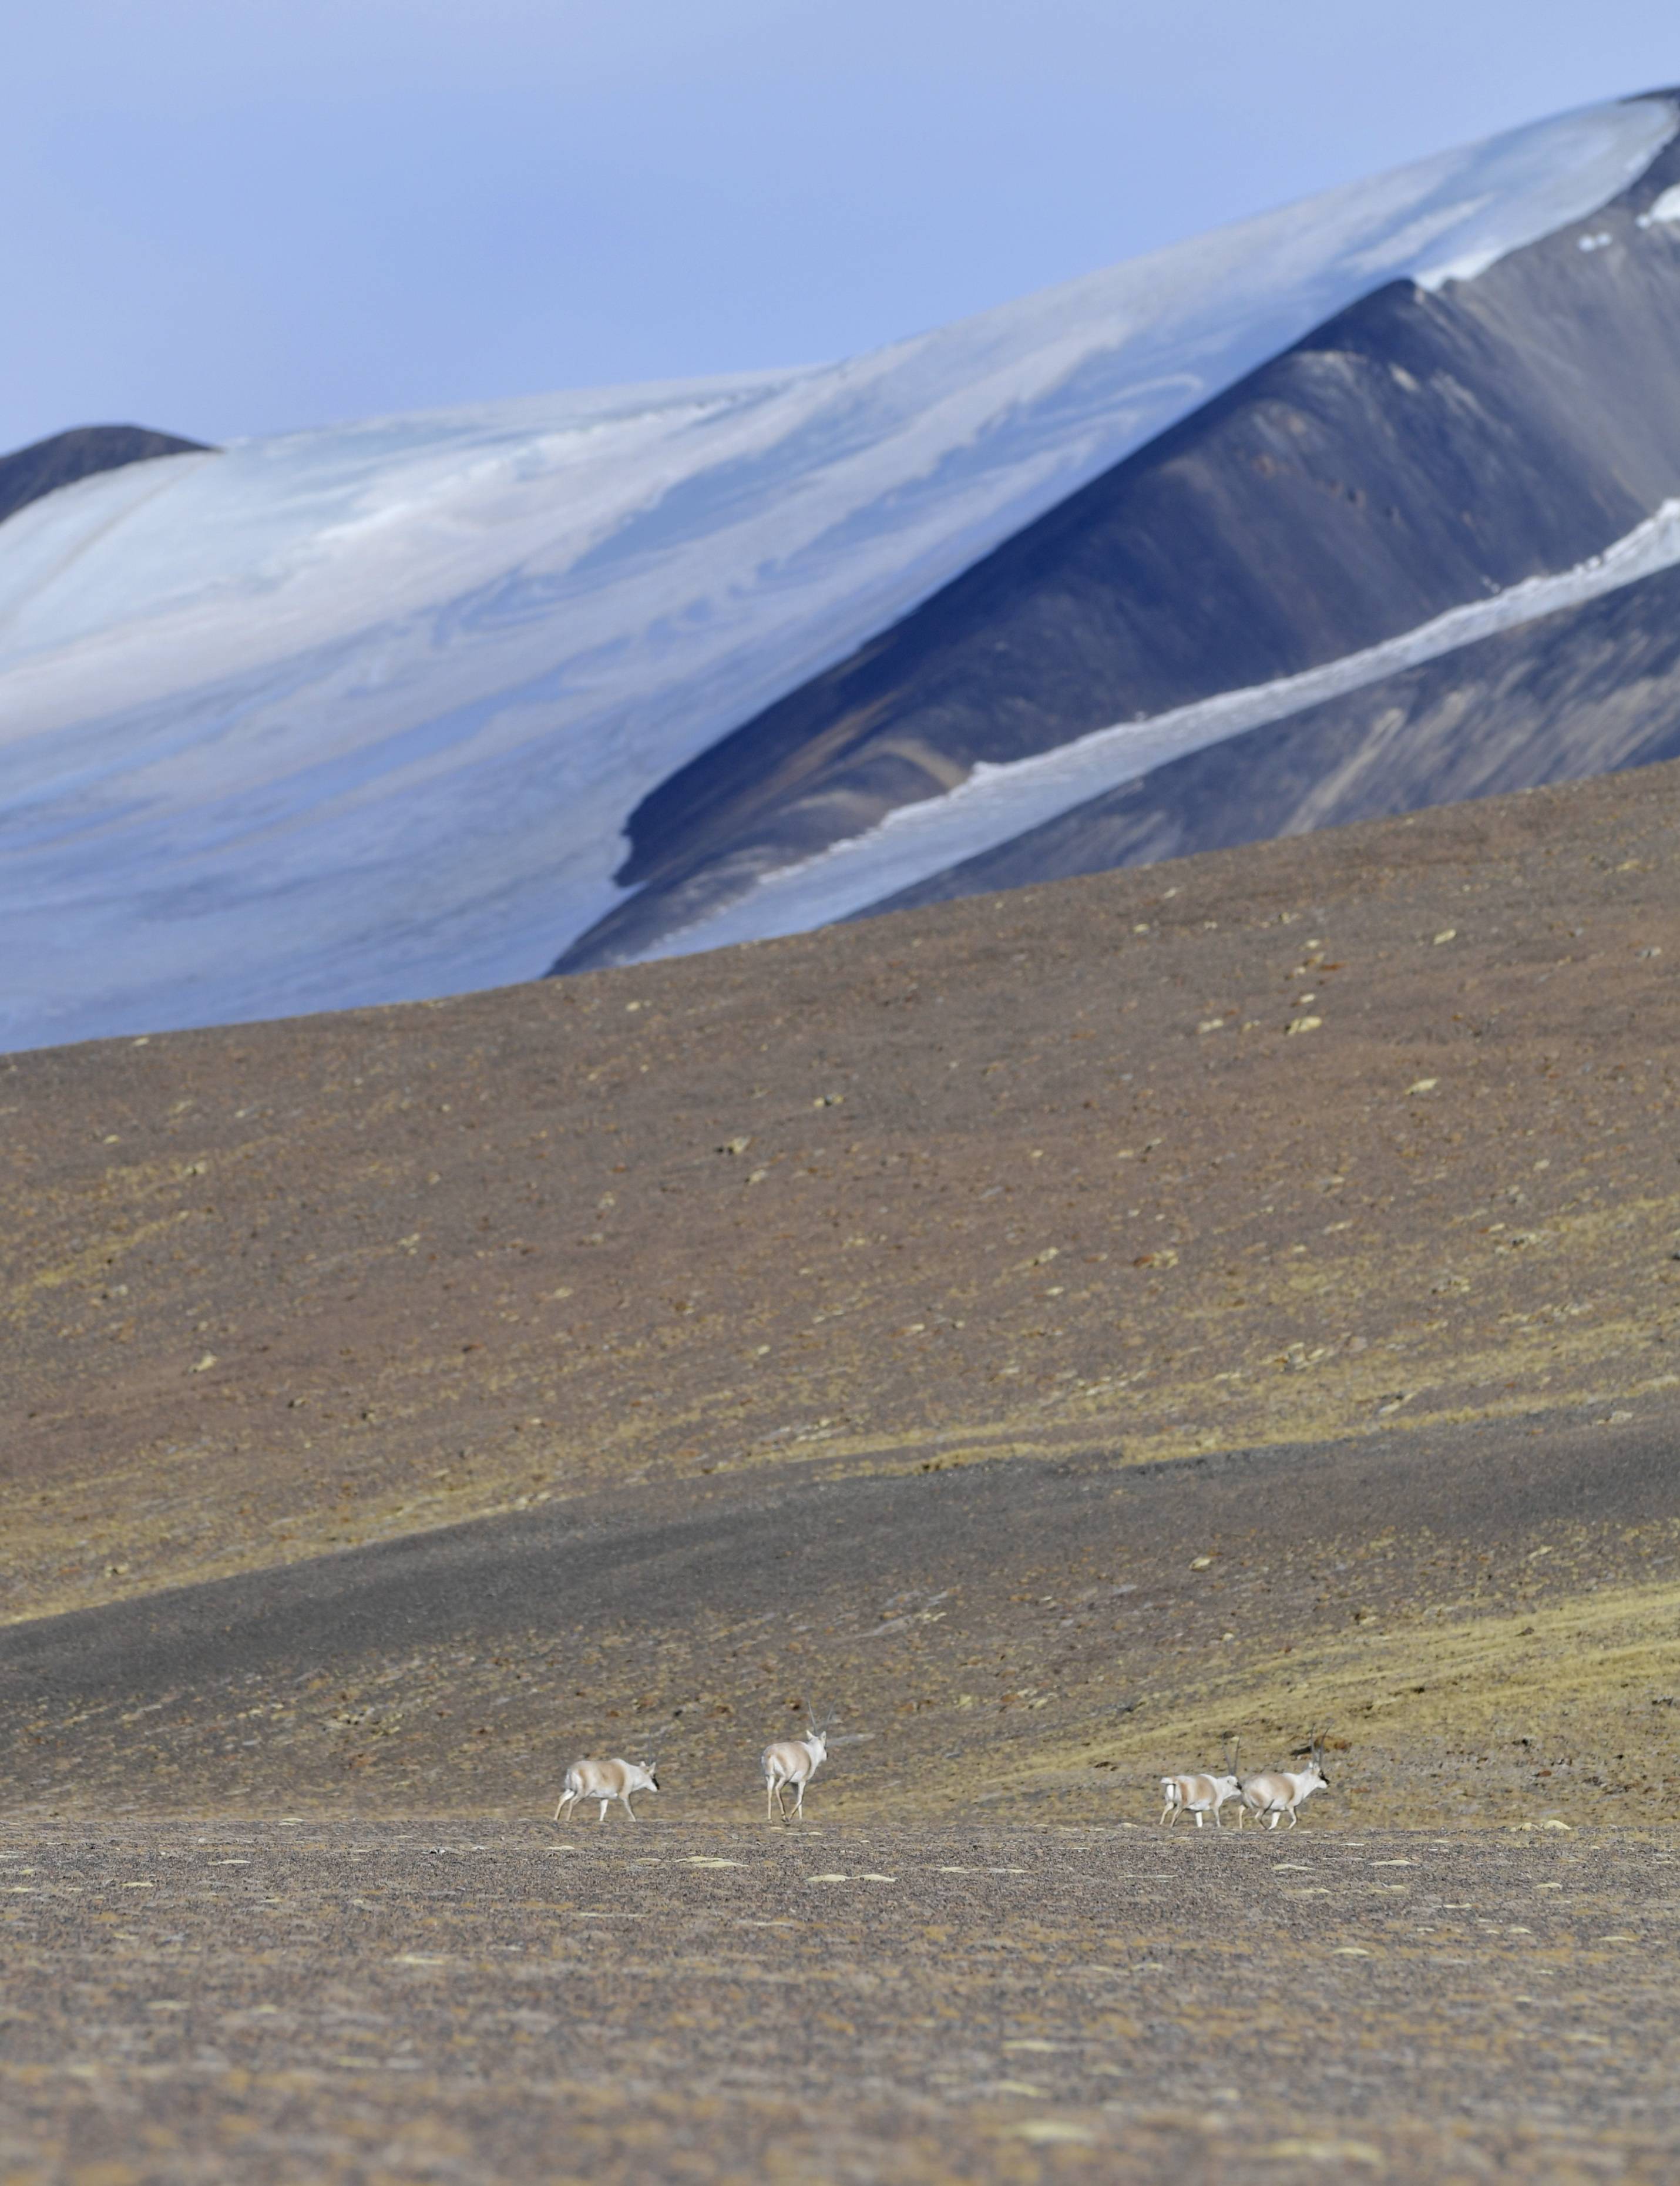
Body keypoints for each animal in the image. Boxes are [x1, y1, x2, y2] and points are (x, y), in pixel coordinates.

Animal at [550, 1757, 655, 1827]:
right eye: (653, 1775)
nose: (657, 1788)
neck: (629, 1772)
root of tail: (572, 1770)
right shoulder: (625, 1796)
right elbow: (630, 1810)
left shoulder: (604, 1798)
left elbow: (603, 1811)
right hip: (582, 1793)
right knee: (572, 1802)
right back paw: (568, 1820)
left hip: (571, 1790)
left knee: (562, 1799)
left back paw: (556, 1819)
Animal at [764, 1705, 834, 1827]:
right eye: (825, 1746)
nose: (827, 1755)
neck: (810, 1752)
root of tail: (771, 1753)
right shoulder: (802, 1781)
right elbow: (801, 1798)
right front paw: (792, 1817)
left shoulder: (793, 1784)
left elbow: (798, 1798)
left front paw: (801, 1818)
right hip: (785, 1778)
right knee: (777, 1789)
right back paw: (784, 1817)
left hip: (770, 1777)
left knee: (769, 1791)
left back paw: (770, 1819)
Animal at [1153, 1740, 1241, 1827]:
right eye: (1236, 1783)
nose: (1241, 1790)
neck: (1219, 1786)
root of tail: (1175, 1780)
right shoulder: (1215, 1808)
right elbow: (1218, 1822)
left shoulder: (1198, 1811)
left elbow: (1200, 1824)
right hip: (1182, 1806)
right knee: (1174, 1816)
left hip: (1172, 1804)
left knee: (1165, 1812)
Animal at [1232, 1722, 1328, 1827]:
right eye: (1321, 1774)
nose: (1328, 1782)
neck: (1301, 1782)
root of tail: (1246, 1787)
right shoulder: (1291, 1807)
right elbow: (1295, 1820)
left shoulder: (1277, 1811)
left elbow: (1274, 1825)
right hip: (1265, 1806)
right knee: (1258, 1818)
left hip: (1247, 1805)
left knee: (1240, 1809)